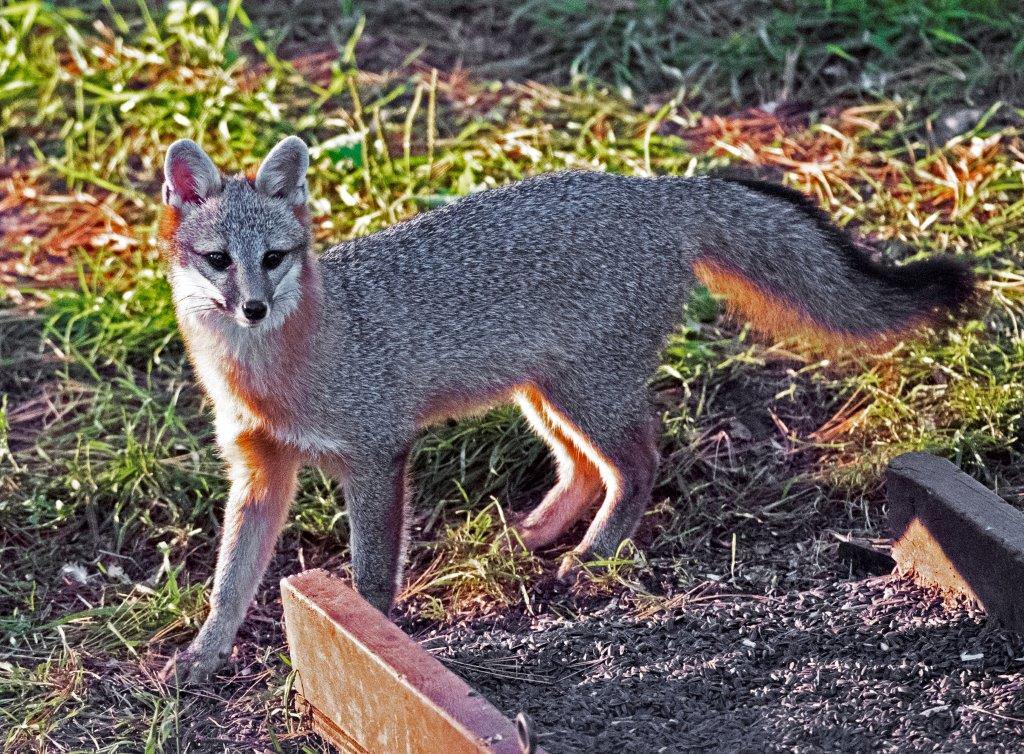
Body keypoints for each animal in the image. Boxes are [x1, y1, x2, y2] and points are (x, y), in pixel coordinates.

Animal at [156, 135, 974, 683]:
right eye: (218, 261)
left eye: (274, 258)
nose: (254, 308)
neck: (272, 372)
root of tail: (653, 189)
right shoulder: (259, 470)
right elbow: (230, 579)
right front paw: (205, 653)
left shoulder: (378, 452)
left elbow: (371, 570)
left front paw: (371, 636)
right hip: (544, 395)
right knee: (587, 471)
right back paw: (537, 536)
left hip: (586, 395)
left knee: (639, 462)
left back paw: (594, 555)